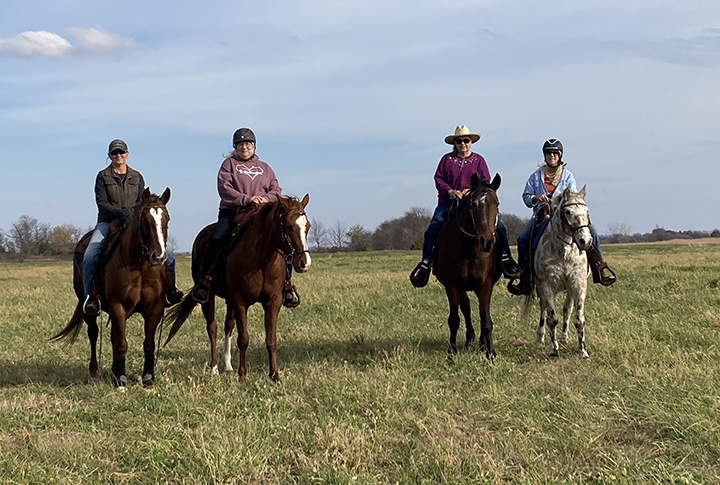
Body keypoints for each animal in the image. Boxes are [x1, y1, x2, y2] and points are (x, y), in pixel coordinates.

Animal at [51, 188, 172, 390]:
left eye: (167, 220)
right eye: (144, 220)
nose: (159, 256)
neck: (138, 266)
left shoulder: (155, 307)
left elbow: (148, 343)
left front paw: (147, 378)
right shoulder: (118, 307)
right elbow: (122, 343)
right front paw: (121, 381)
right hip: (89, 309)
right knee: (94, 334)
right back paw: (94, 372)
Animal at [166, 193, 312, 382]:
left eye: (307, 226)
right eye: (288, 226)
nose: (304, 263)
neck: (261, 260)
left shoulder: (272, 302)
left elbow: (271, 340)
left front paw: (274, 376)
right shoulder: (241, 301)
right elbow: (243, 339)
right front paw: (242, 377)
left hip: (230, 300)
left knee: (228, 325)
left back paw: (228, 365)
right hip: (209, 297)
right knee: (212, 328)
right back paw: (214, 367)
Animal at [434, 173, 500, 360]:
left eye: (496, 203)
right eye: (473, 204)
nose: (487, 242)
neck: (469, 249)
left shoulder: (485, 285)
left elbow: (485, 319)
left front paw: (490, 352)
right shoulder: (452, 285)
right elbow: (454, 319)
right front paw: (451, 351)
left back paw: (481, 343)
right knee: (466, 308)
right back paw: (470, 338)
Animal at [524, 184, 592, 356]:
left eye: (587, 212)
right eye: (567, 212)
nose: (585, 241)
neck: (564, 250)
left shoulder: (578, 284)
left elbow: (578, 319)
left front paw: (582, 351)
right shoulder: (547, 286)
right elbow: (551, 319)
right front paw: (553, 350)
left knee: (567, 310)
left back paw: (564, 337)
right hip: (541, 288)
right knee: (544, 310)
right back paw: (542, 336)